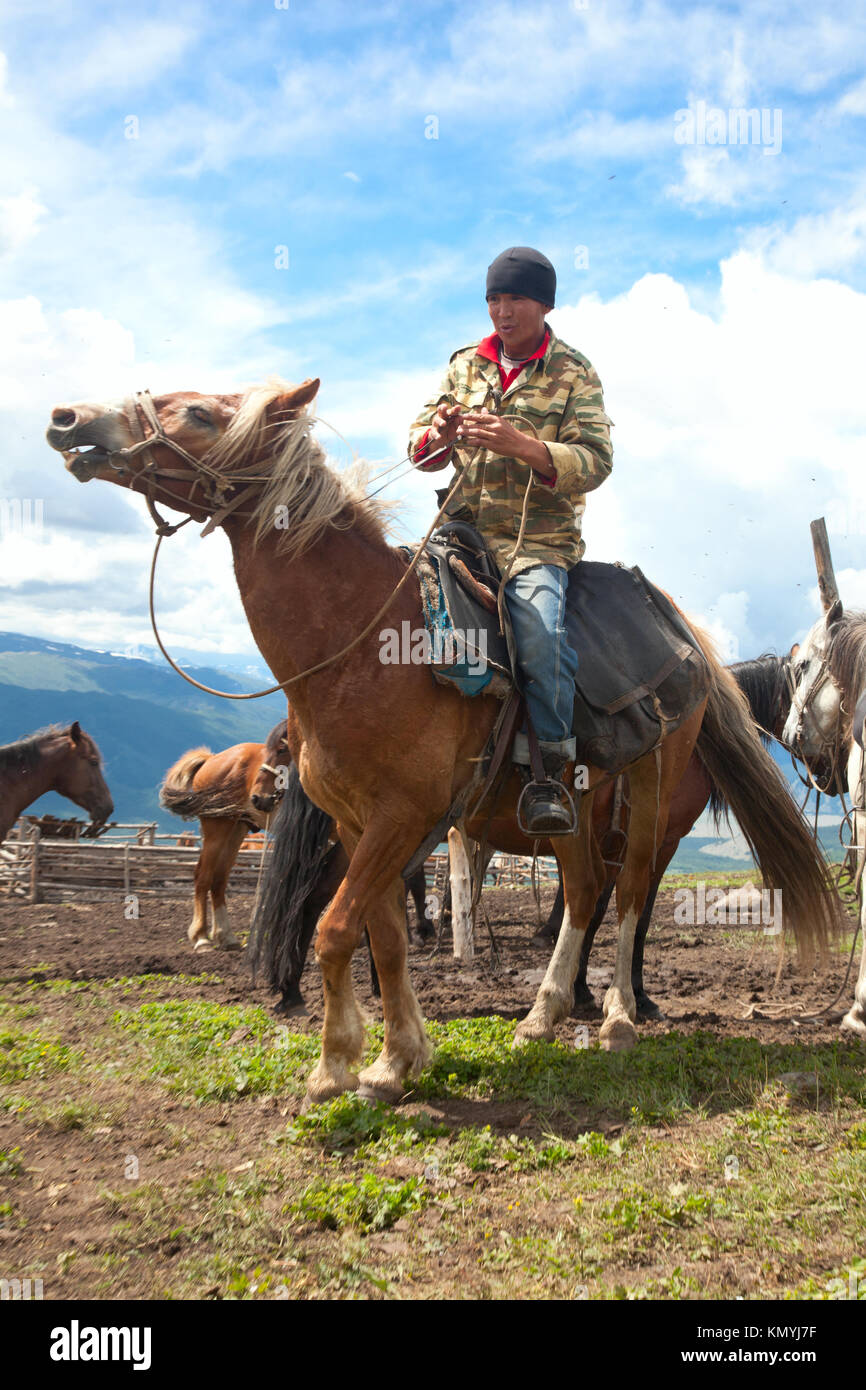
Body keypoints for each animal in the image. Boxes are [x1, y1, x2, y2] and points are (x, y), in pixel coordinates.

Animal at [159, 717, 287, 956]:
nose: (261, 798)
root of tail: (212, 759)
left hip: (236, 829)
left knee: (219, 879)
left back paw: (225, 936)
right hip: (217, 827)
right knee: (203, 876)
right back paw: (201, 937)